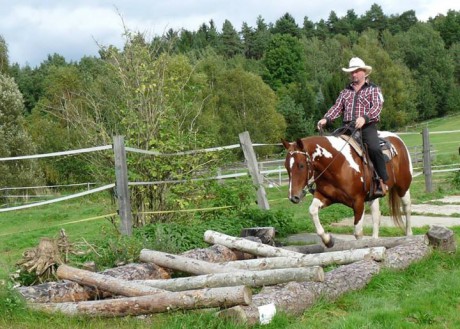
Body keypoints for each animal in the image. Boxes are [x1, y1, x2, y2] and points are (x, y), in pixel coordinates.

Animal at [284, 131, 414, 246]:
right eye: (286, 166)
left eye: (301, 165)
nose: (293, 197)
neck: (339, 165)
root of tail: (397, 139)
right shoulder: (325, 196)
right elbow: (312, 210)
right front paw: (328, 240)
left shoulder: (358, 202)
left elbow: (358, 233)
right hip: (373, 195)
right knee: (376, 215)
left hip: (403, 187)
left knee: (407, 208)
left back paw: (409, 235)